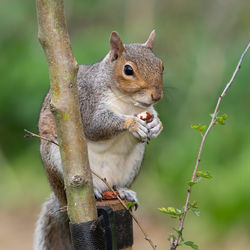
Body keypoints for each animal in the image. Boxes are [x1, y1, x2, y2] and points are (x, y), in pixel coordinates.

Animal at [33, 30, 164, 250]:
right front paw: (132, 124)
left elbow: (153, 117)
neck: (128, 103)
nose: (156, 96)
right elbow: (96, 125)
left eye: (161, 65)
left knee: (119, 185)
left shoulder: (148, 110)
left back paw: (124, 192)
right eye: (128, 70)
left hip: (133, 164)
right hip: (55, 160)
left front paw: (157, 125)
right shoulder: (87, 103)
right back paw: (92, 191)